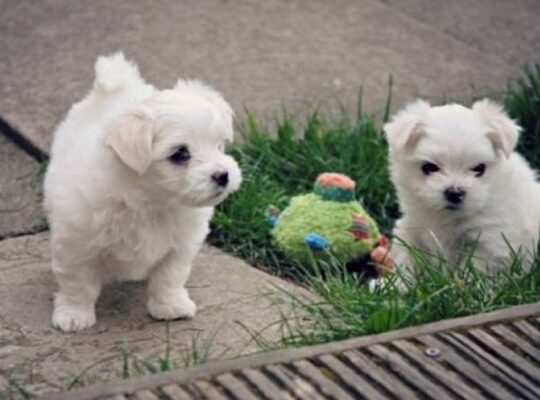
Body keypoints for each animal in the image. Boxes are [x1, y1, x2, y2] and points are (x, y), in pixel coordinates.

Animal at [43, 54, 242, 334]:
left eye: (219, 145)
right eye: (180, 154)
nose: (223, 175)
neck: (150, 202)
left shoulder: (180, 245)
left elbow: (169, 277)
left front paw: (170, 306)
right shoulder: (76, 244)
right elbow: (78, 284)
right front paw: (74, 314)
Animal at [382, 99, 540, 282]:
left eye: (479, 168)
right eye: (429, 167)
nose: (454, 193)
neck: (447, 217)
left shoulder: (489, 240)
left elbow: (473, 270)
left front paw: (460, 285)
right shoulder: (412, 228)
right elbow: (406, 258)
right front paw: (397, 284)